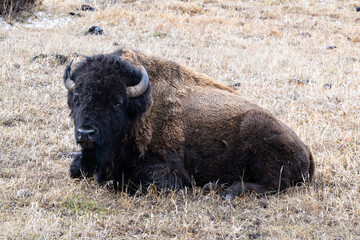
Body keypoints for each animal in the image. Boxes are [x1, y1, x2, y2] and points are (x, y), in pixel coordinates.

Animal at [63, 47, 314, 198]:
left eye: (116, 102)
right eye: (76, 98)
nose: (85, 133)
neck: (140, 109)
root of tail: (306, 150)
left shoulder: (171, 175)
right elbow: (75, 168)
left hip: (259, 137)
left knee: (273, 184)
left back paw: (227, 190)